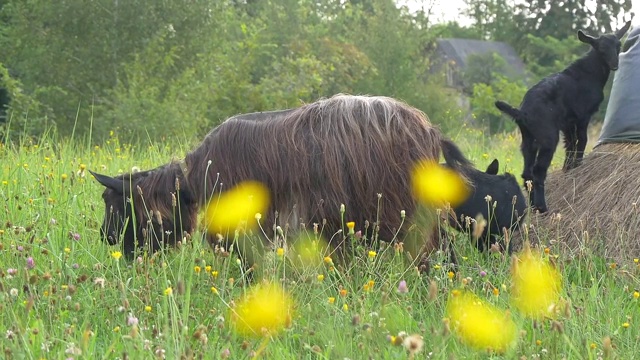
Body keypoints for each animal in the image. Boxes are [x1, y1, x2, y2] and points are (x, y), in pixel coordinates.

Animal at [91, 94, 524, 268]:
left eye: (121, 205)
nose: (108, 240)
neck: (194, 181)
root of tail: (430, 131)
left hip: (408, 213)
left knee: (439, 255)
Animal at [496, 21, 632, 214]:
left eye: (618, 45)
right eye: (601, 48)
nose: (614, 65)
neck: (589, 72)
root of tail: (522, 113)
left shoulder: (567, 122)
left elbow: (570, 144)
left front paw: (569, 168)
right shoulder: (583, 116)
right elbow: (582, 140)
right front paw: (578, 164)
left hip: (528, 141)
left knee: (527, 173)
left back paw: (532, 207)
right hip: (548, 138)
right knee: (538, 171)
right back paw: (542, 207)